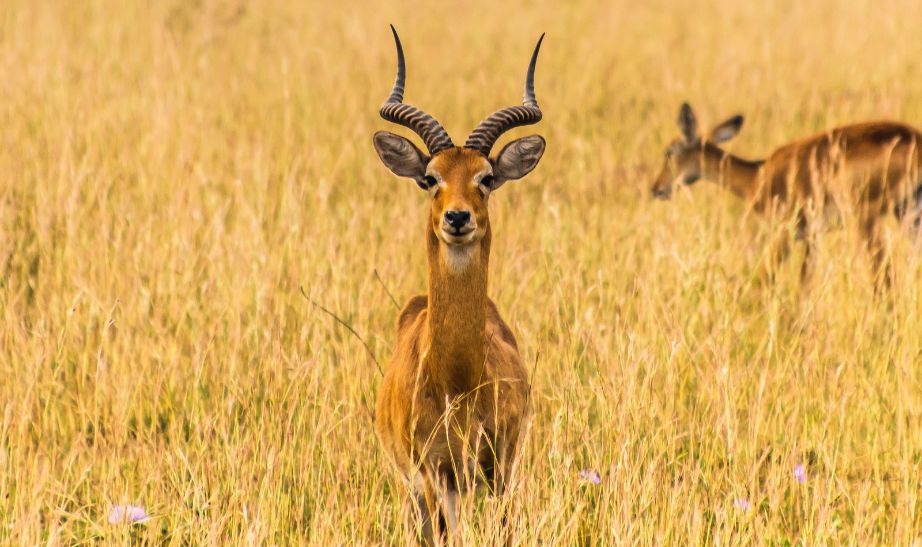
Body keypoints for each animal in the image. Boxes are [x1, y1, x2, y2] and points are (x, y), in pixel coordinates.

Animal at [372, 26, 545, 544]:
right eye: (430, 178)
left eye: (486, 177)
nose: (457, 217)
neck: (458, 382)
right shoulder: (433, 475)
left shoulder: (500, 468)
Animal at [651, 103, 922, 286]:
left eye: (669, 151)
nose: (656, 188)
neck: (758, 176)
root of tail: (914, 139)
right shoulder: (812, 237)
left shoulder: (787, 232)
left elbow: (765, 277)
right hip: (908, 215)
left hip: (868, 218)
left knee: (883, 278)